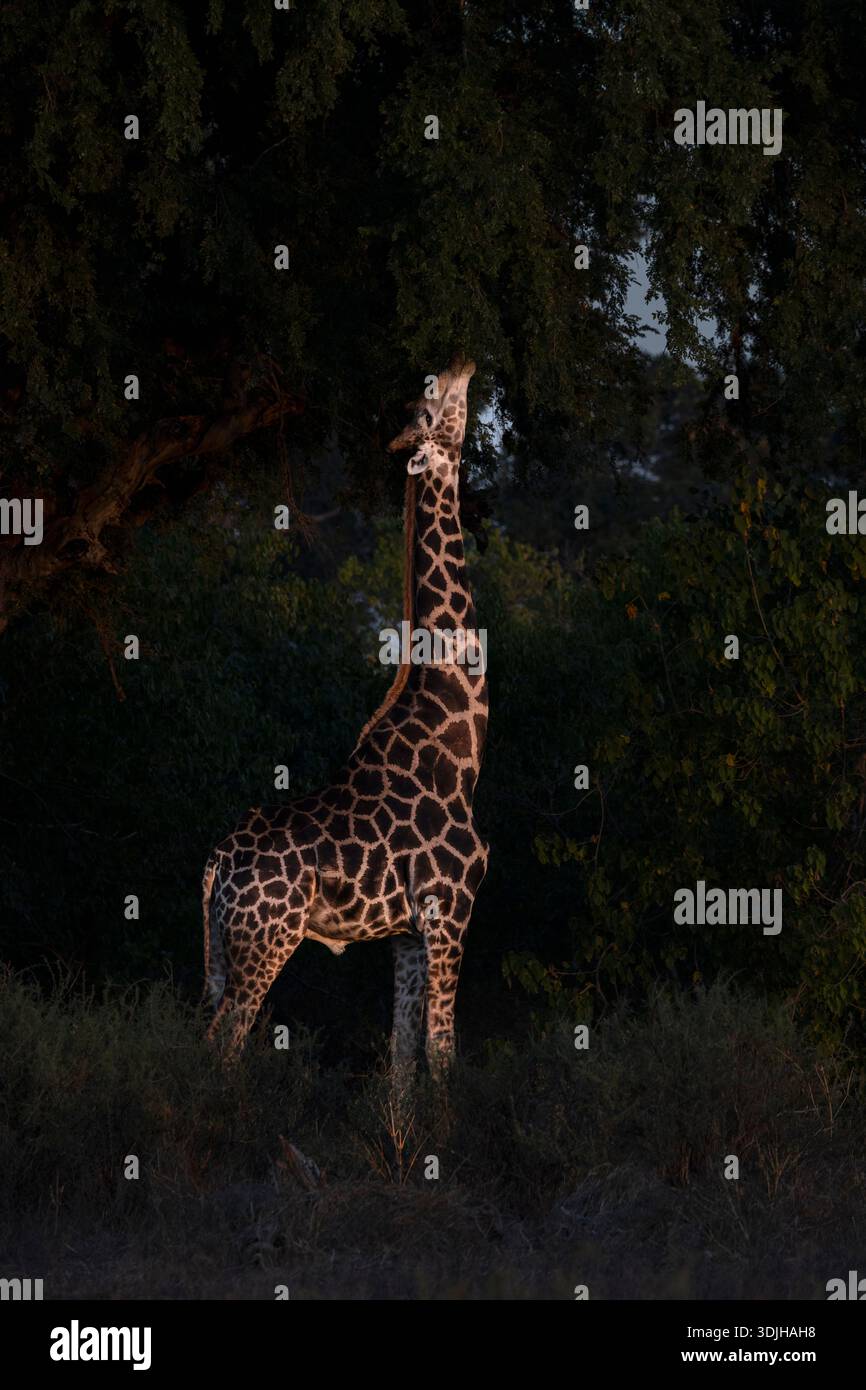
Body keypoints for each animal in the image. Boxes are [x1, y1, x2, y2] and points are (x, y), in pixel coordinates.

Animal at [202, 357, 488, 1072]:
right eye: (429, 407)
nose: (462, 363)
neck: (462, 742)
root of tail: (216, 862)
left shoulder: (409, 933)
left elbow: (402, 1059)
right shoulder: (451, 911)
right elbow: (443, 1053)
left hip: (220, 946)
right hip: (265, 941)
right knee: (223, 1043)